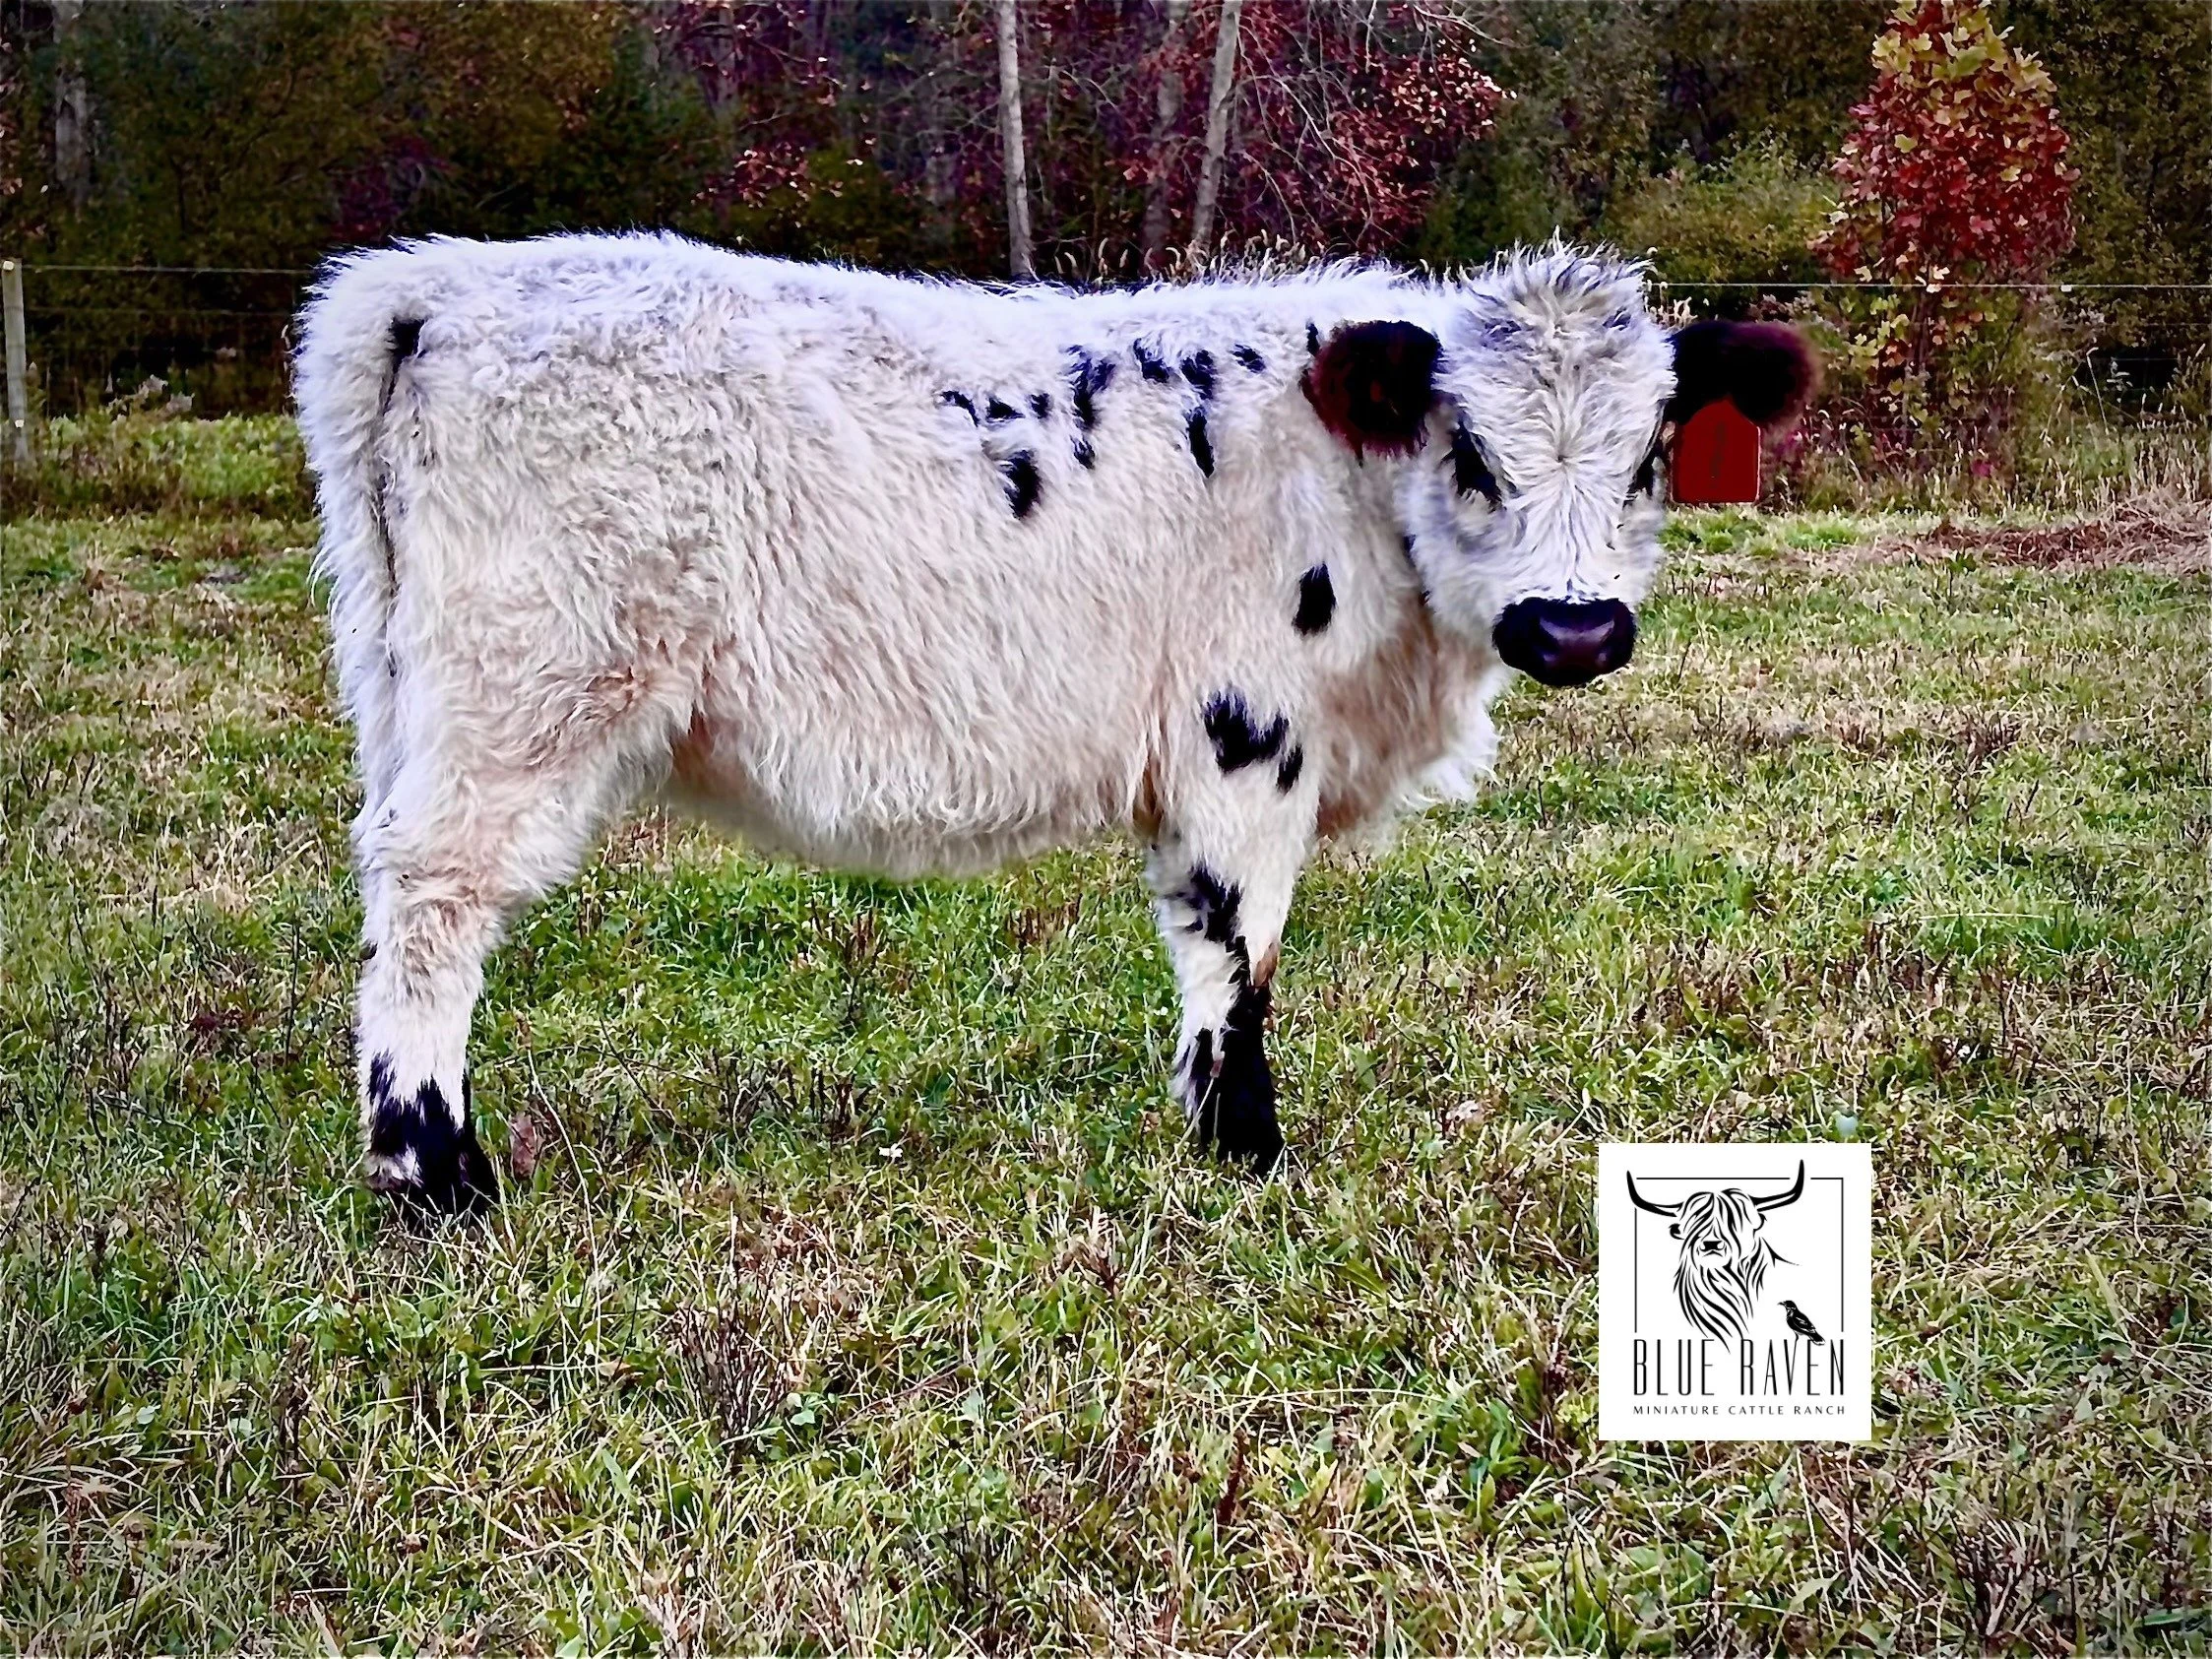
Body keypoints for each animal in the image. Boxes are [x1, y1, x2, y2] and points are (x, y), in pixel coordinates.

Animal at [293, 233, 1815, 1214]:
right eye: (1472, 452)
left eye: (1653, 449)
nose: (1574, 628)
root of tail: (436, 286)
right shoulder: (1243, 736)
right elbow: (1238, 947)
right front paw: (1243, 1145)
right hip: (519, 696)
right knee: (434, 910)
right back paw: (438, 1174)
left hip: (410, 686)